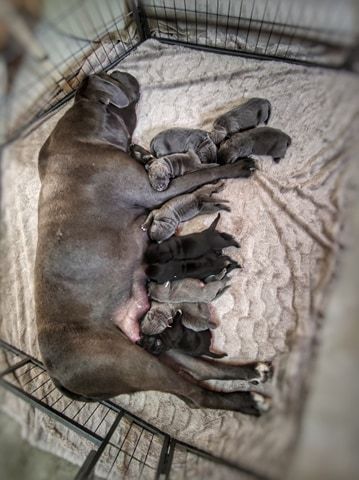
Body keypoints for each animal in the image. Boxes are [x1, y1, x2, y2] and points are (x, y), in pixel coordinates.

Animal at [35, 69, 272, 414]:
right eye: (112, 74)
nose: (125, 71)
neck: (83, 131)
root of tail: (54, 376)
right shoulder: (155, 189)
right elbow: (197, 176)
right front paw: (235, 166)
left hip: (154, 340)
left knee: (202, 370)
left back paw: (253, 371)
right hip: (132, 361)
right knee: (196, 396)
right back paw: (248, 401)